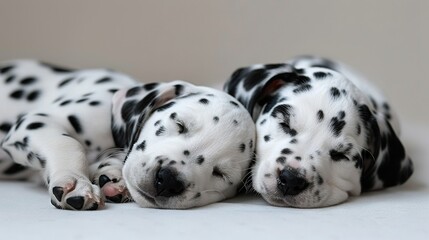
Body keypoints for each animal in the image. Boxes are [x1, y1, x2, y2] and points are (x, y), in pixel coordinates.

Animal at [0, 60, 254, 210]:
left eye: (221, 173)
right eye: (179, 124)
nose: (168, 180)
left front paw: (114, 177)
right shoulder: (37, 121)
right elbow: (69, 144)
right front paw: (75, 181)